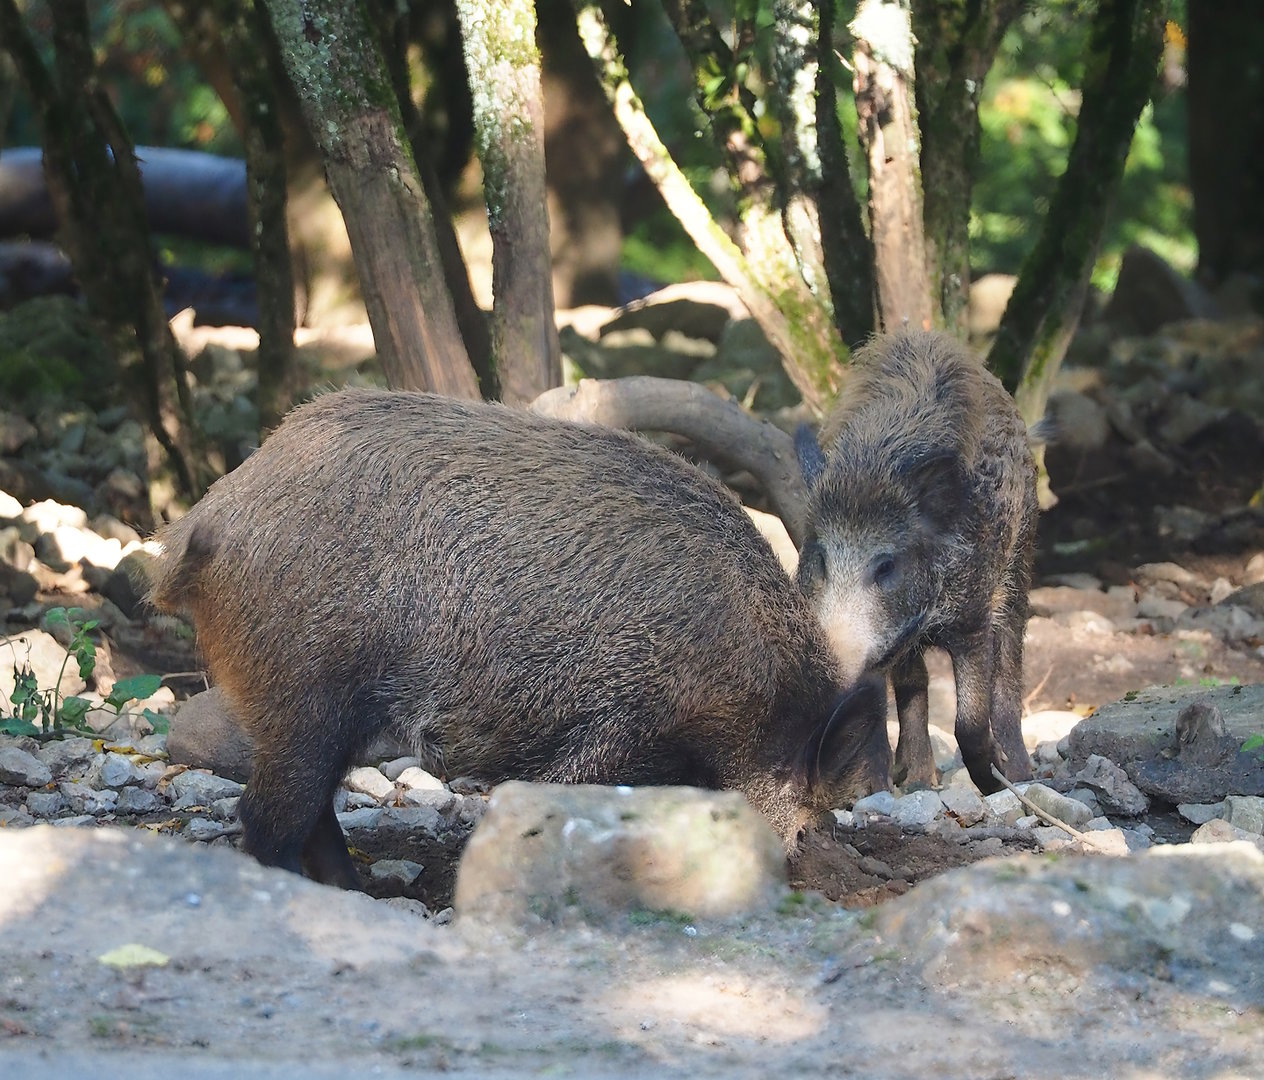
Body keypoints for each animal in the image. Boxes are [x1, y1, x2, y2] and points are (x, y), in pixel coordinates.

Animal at [148, 387, 888, 888]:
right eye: (805, 808)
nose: (808, 871)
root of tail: (205, 521)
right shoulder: (620, 725)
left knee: (311, 811)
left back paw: (357, 890)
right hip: (304, 688)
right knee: (269, 812)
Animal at [794, 330, 1037, 794]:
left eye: (886, 565)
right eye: (820, 557)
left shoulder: (973, 618)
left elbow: (969, 719)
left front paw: (995, 782)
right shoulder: (896, 638)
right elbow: (912, 695)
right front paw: (914, 784)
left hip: (1020, 567)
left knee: (1010, 666)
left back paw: (1022, 773)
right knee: (917, 689)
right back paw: (919, 780)